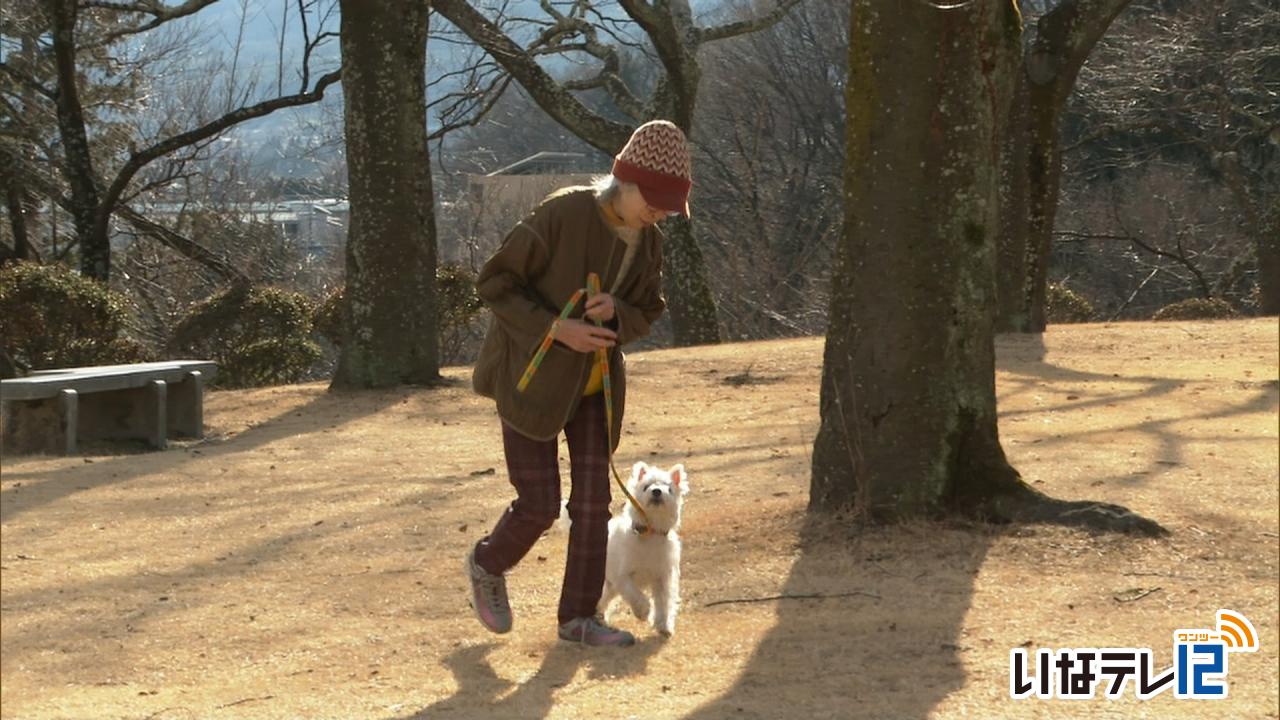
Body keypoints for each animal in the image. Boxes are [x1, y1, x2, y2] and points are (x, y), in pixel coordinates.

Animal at [599, 458, 691, 632]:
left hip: (610, 586)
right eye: (646, 487)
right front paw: (643, 611)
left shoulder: (663, 578)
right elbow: (635, 594)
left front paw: (663, 624)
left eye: (669, 488)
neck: (650, 532)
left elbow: (663, 602)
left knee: (604, 599)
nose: (657, 491)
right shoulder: (623, 576)